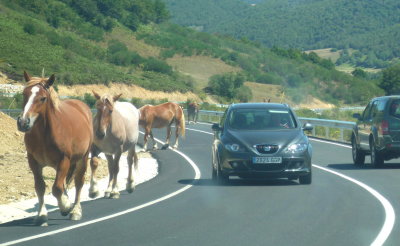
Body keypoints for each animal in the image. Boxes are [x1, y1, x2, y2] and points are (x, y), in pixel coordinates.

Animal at [16, 70, 92, 225]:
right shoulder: (33, 162)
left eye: (43, 98)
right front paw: (41, 215)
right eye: (24, 94)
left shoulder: (64, 160)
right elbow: (40, 187)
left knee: (78, 182)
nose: (23, 122)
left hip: (82, 159)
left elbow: (56, 188)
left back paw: (75, 210)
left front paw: (66, 207)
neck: (44, 134)